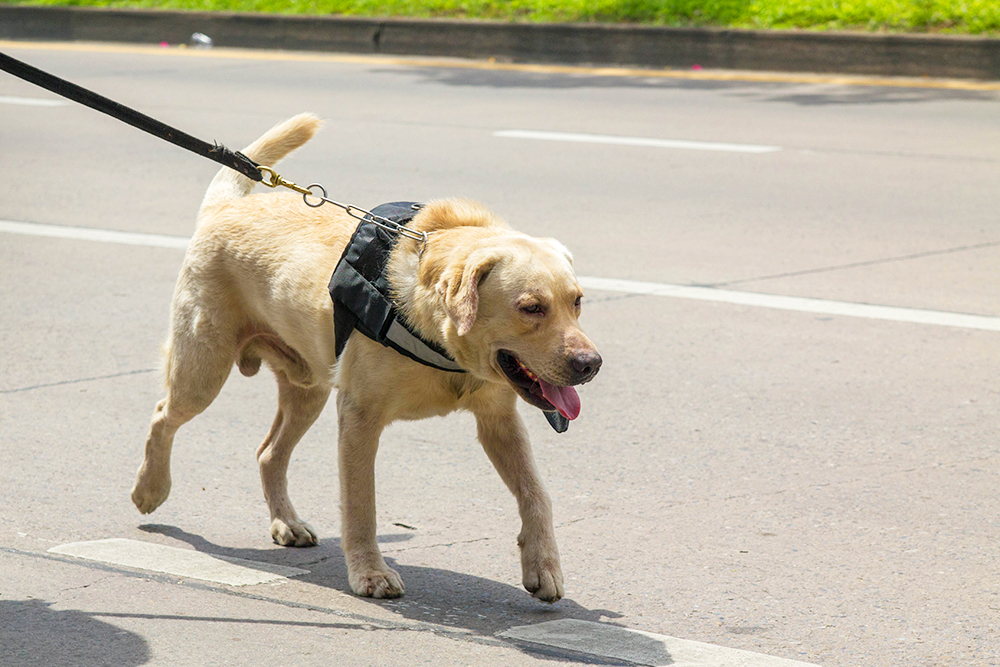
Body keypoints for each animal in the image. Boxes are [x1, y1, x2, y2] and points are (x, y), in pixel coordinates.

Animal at [132, 115, 600, 604]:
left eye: (577, 302)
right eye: (531, 308)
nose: (591, 364)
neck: (440, 339)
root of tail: (225, 207)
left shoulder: (498, 420)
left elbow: (536, 492)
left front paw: (543, 564)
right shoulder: (359, 417)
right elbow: (361, 504)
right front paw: (369, 572)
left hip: (309, 389)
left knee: (268, 453)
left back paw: (286, 522)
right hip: (203, 369)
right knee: (163, 414)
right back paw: (150, 488)